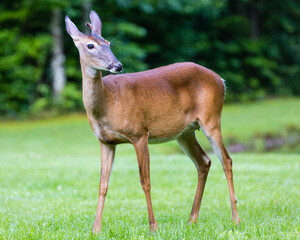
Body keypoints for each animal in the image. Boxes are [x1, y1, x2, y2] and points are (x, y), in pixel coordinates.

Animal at [65, 10, 241, 233]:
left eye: (108, 43)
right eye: (90, 45)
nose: (117, 65)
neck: (107, 104)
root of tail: (221, 80)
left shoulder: (139, 133)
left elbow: (145, 181)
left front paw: (153, 226)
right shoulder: (105, 141)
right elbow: (103, 184)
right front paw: (96, 228)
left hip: (211, 118)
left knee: (226, 160)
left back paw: (235, 219)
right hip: (185, 132)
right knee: (204, 161)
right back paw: (192, 219)